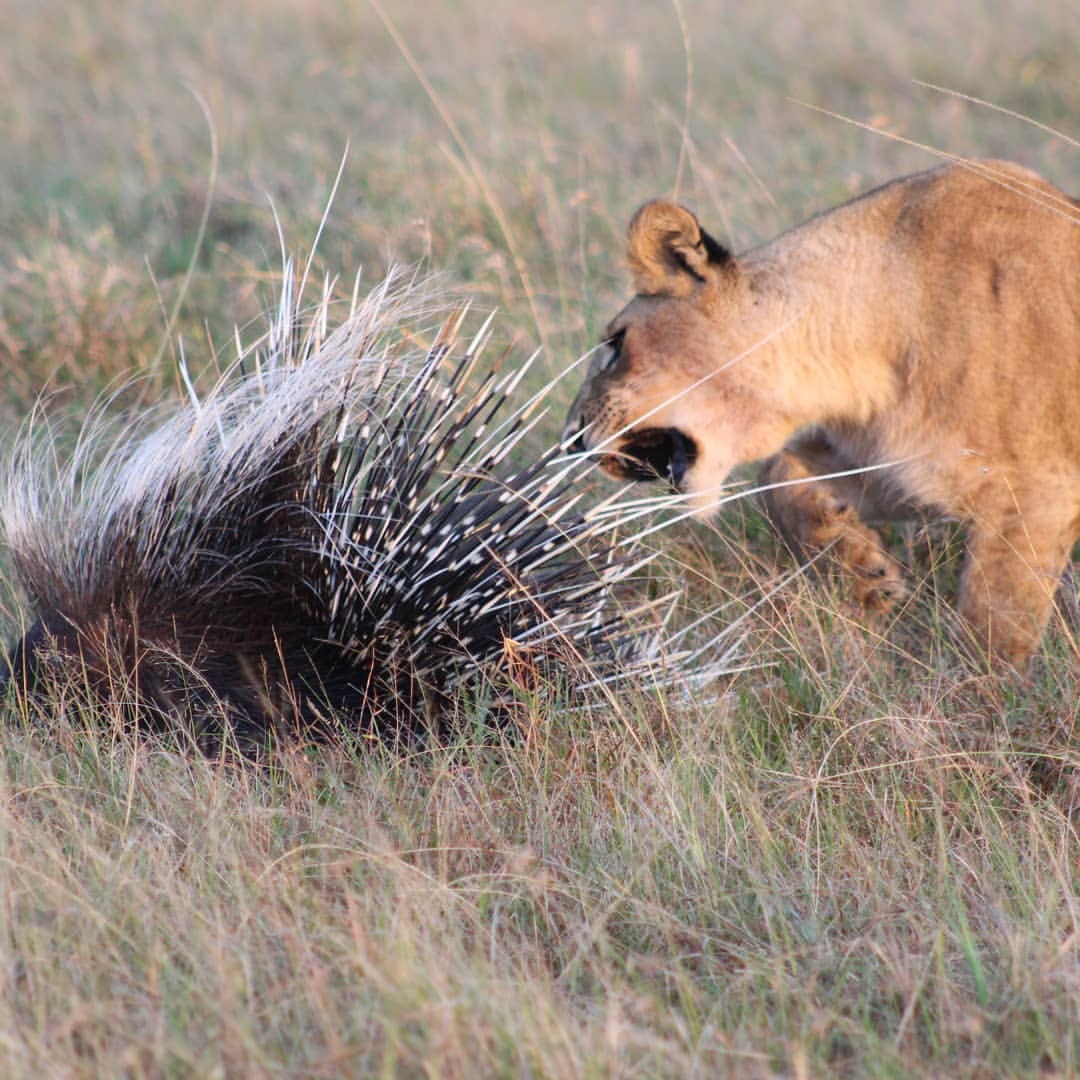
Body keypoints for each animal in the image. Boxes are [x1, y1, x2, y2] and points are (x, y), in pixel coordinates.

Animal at [565, 158, 1080, 665]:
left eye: (617, 344)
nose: (570, 437)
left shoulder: (1036, 491)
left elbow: (994, 619)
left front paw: (980, 686)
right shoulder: (897, 463)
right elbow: (777, 474)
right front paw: (866, 575)